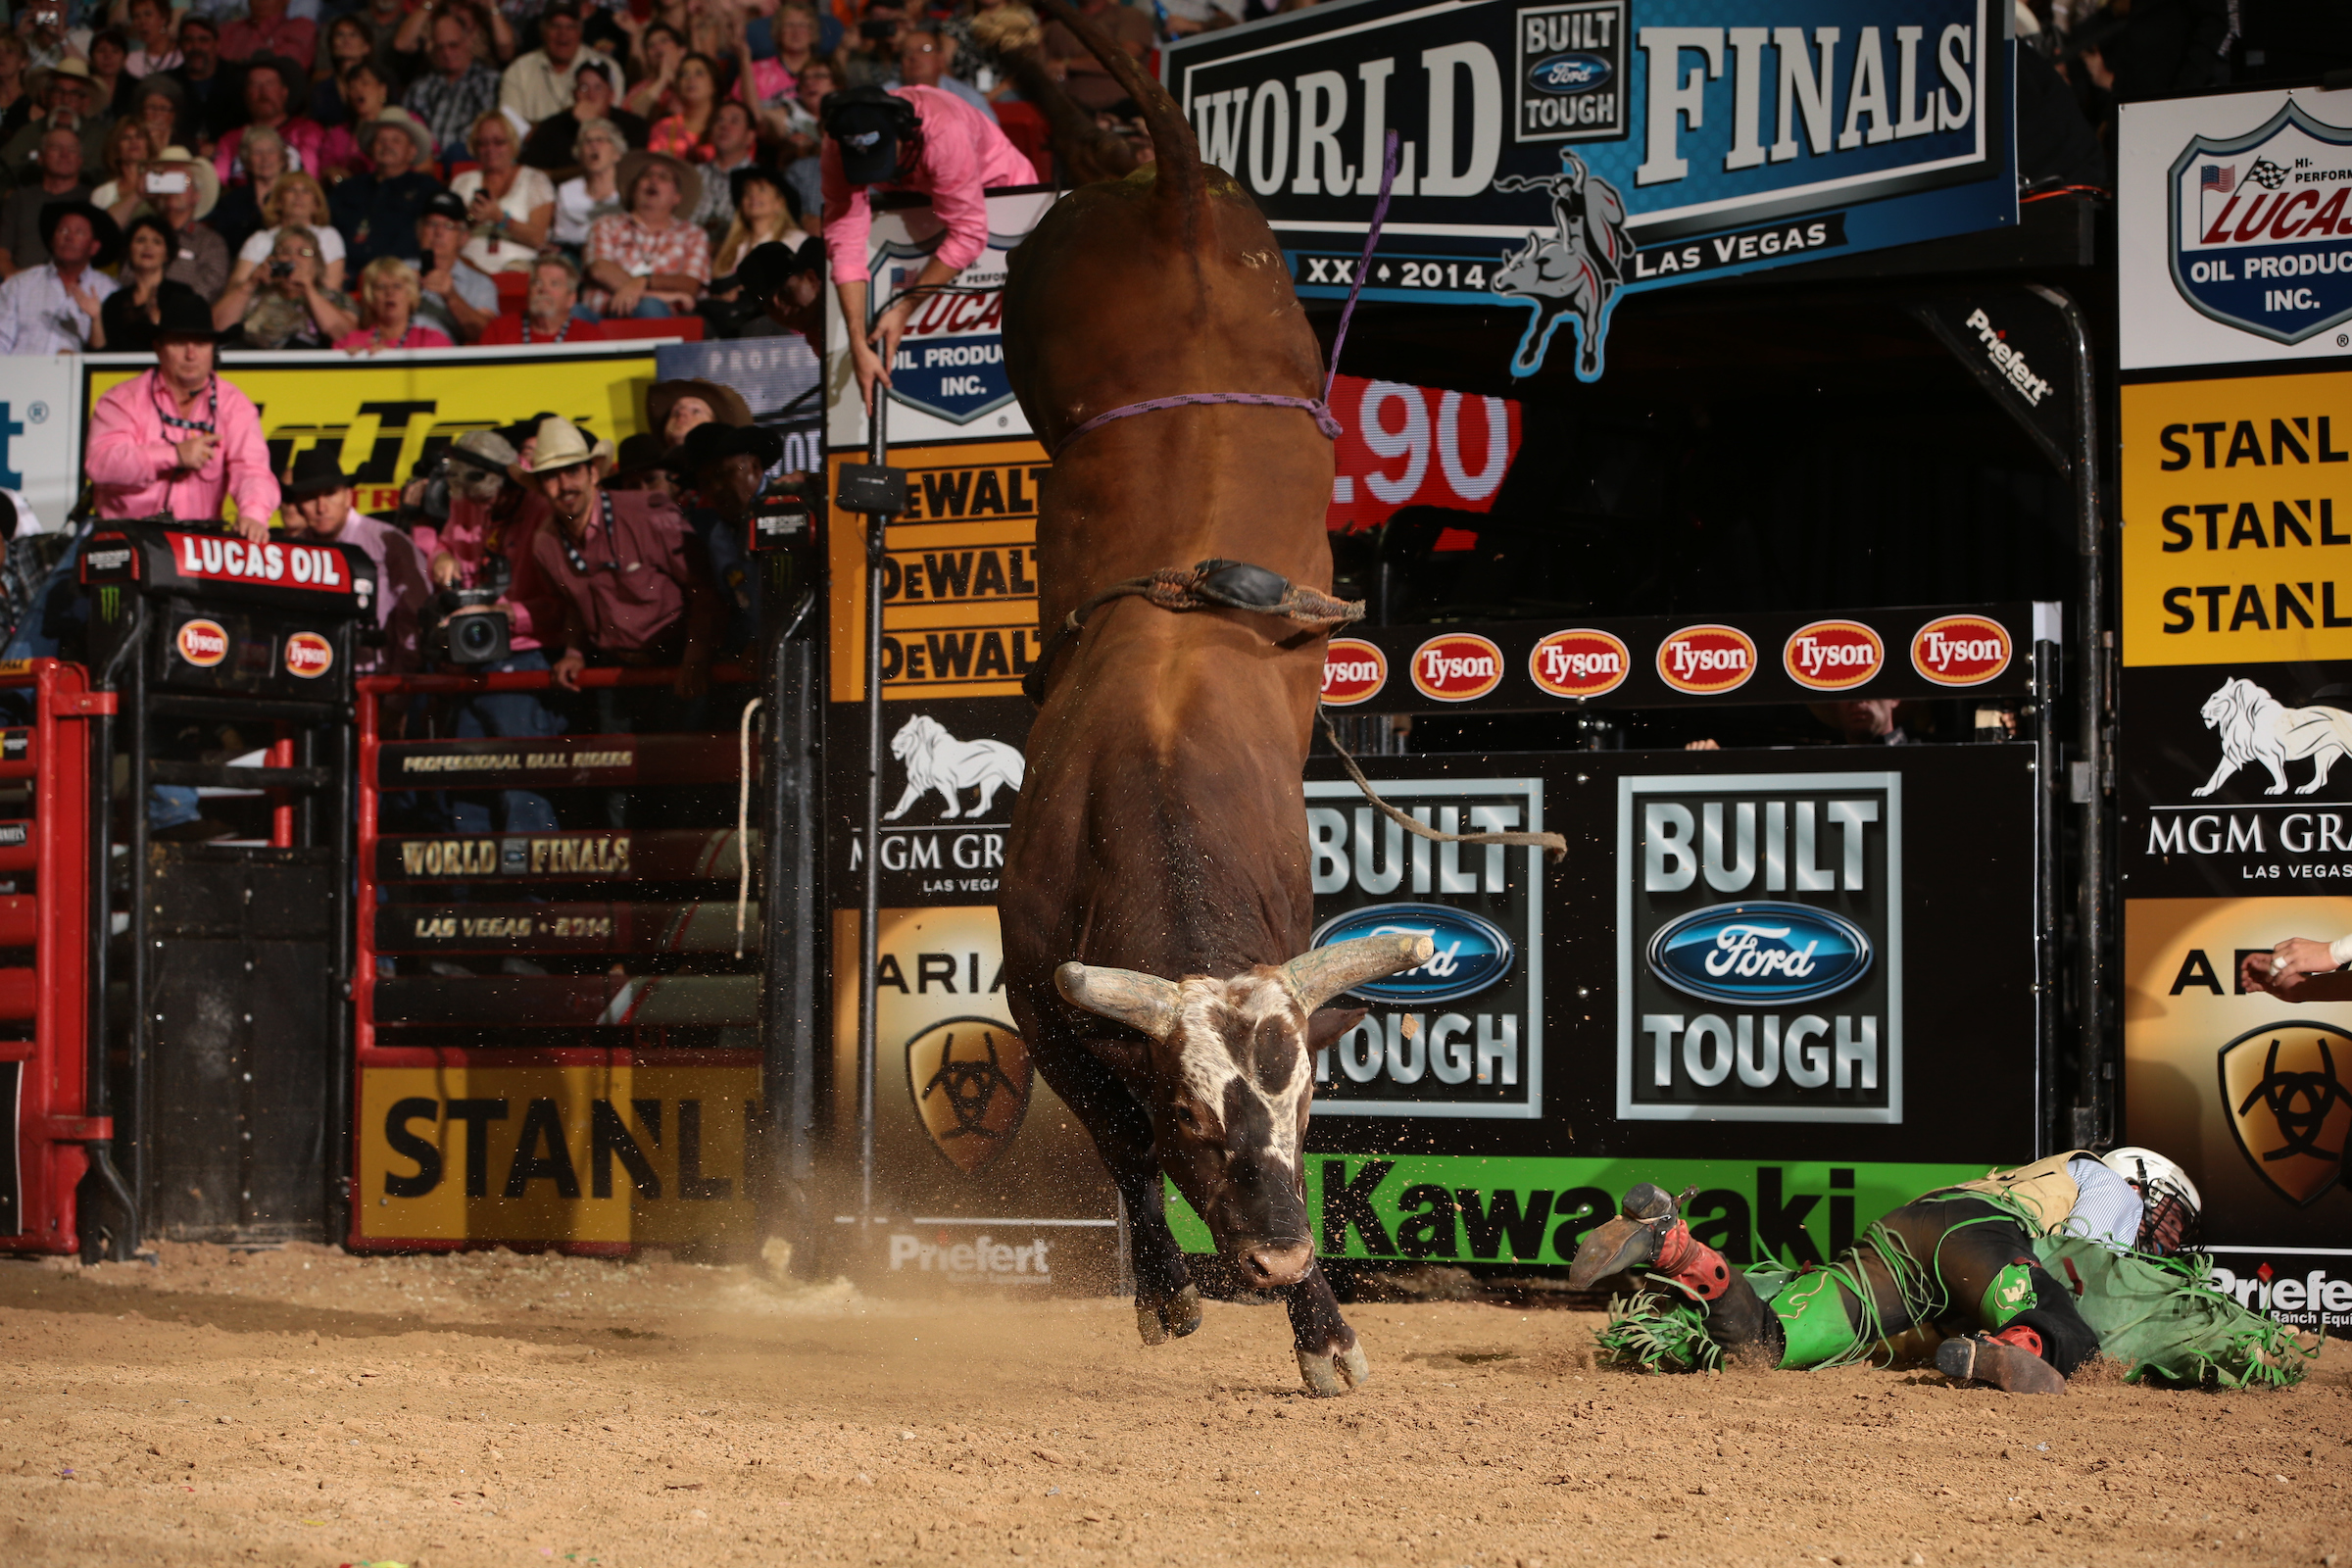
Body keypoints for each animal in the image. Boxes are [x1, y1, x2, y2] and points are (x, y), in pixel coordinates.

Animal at [995, 0, 1427, 1397]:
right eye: (1196, 1110)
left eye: (1305, 1107)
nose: (1283, 1258)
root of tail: (1183, 199)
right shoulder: (1043, 1002)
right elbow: (1117, 1141)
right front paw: (1169, 1292)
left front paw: (1325, 1329)